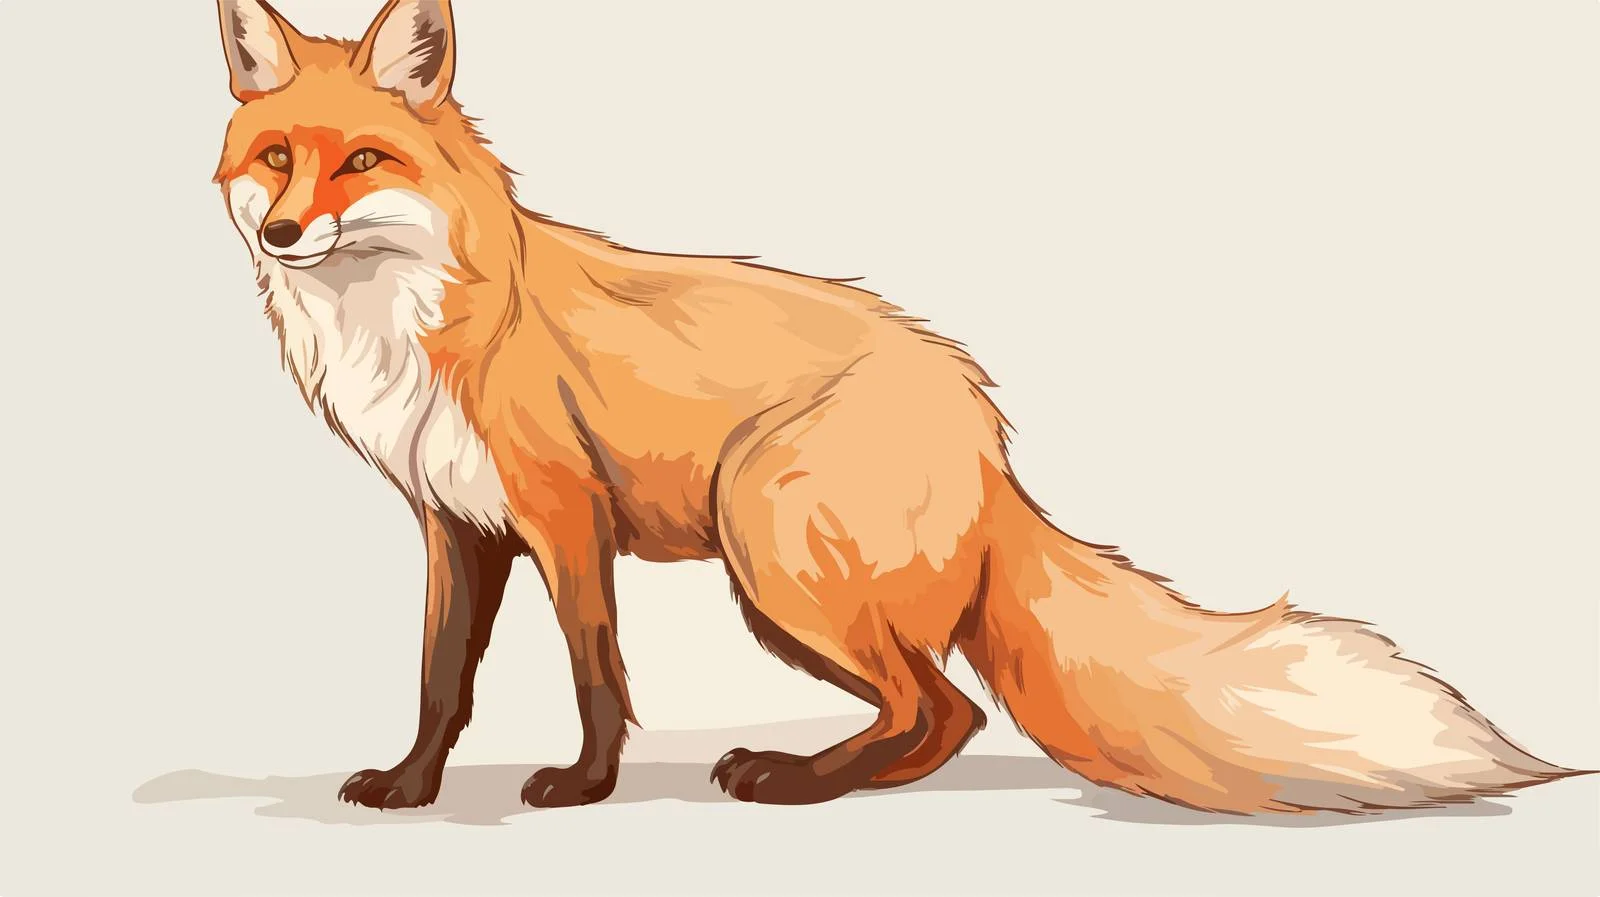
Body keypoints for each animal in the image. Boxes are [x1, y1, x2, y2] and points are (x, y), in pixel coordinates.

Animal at [214, 0, 1587, 814]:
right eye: (276, 159)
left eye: (363, 161)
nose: (281, 234)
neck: (413, 327)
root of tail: (987, 429)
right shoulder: (458, 527)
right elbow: (441, 679)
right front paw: (411, 785)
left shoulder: (564, 519)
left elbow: (596, 669)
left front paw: (585, 785)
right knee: (939, 709)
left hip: (769, 555)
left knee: (946, 706)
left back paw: (796, 780)